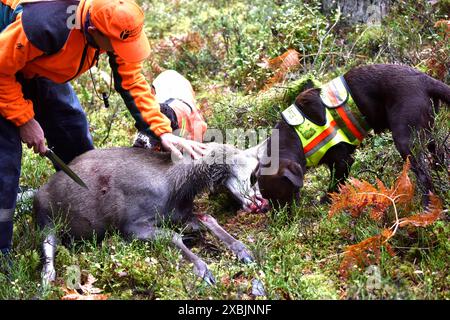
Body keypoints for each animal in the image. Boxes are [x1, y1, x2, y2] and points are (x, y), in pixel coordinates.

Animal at [36, 144, 268, 284]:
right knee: (48, 249)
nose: (263, 205)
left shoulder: (180, 215)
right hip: (45, 220)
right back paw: (47, 281)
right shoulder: (130, 226)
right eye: (255, 174)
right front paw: (203, 270)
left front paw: (244, 252)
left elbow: (208, 218)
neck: (178, 186)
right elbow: (173, 236)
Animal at [256, 64, 450, 208]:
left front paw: (326, 199)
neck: (296, 134)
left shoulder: (342, 162)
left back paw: (427, 205)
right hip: (427, 132)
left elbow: (335, 183)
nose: (277, 219)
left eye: (280, 196)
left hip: (405, 140)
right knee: (438, 153)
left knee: (424, 175)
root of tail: (424, 79)